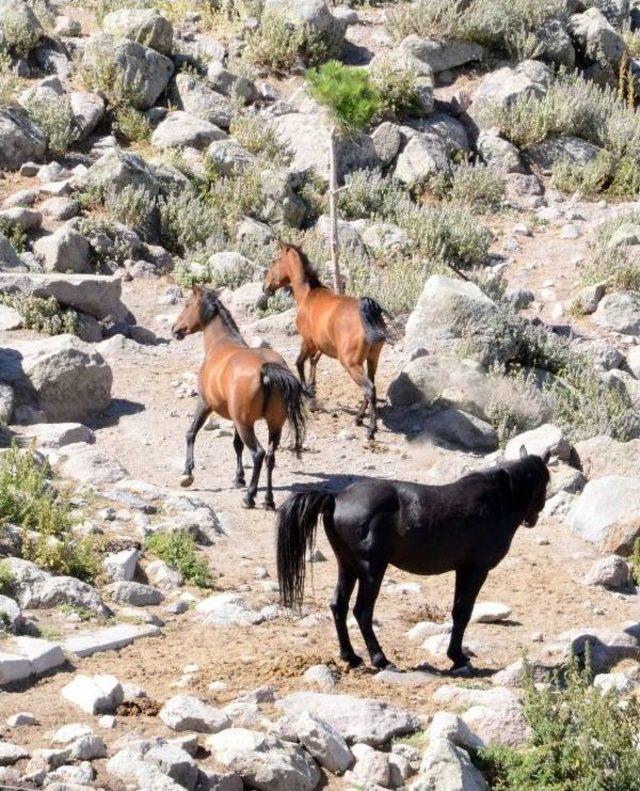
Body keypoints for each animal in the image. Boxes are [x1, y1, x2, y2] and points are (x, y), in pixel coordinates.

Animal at [172, 288, 308, 510]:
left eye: (187, 304)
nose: (175, 329)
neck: (221, 344)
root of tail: (266, 369)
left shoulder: (205, 404)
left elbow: (191, 433)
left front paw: (188, 472)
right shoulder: (237, 419)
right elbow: (237, 445)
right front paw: (239, 478)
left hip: (247, 425)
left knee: (258, 454)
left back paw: (250, 497)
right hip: (273, 426)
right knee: (270, 457)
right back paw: (268, 500)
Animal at [262, 243, 392, 440]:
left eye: (274, 261)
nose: (265, 287)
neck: (308, 295)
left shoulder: (307, 342)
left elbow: (299, 363)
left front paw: (308, 394)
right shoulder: (320, 346)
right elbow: (313, 362)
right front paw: (312, 392)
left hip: (351, 363)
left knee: (369, 389)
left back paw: (370, 429)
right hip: (372, 359)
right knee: (371, 388)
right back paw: (359, 419)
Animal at [276, 448, 552, 672]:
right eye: (546, 481)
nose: (534, 518)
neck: (496, 500)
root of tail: (336, 497)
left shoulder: (463, 569)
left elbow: (458, 611)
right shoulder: (475, 569)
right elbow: (463, 611)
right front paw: (458, 658)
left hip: (347, 566)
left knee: (338, 606)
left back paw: (351, 657)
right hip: (371, 570)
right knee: (362, 612)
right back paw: (381, 659)